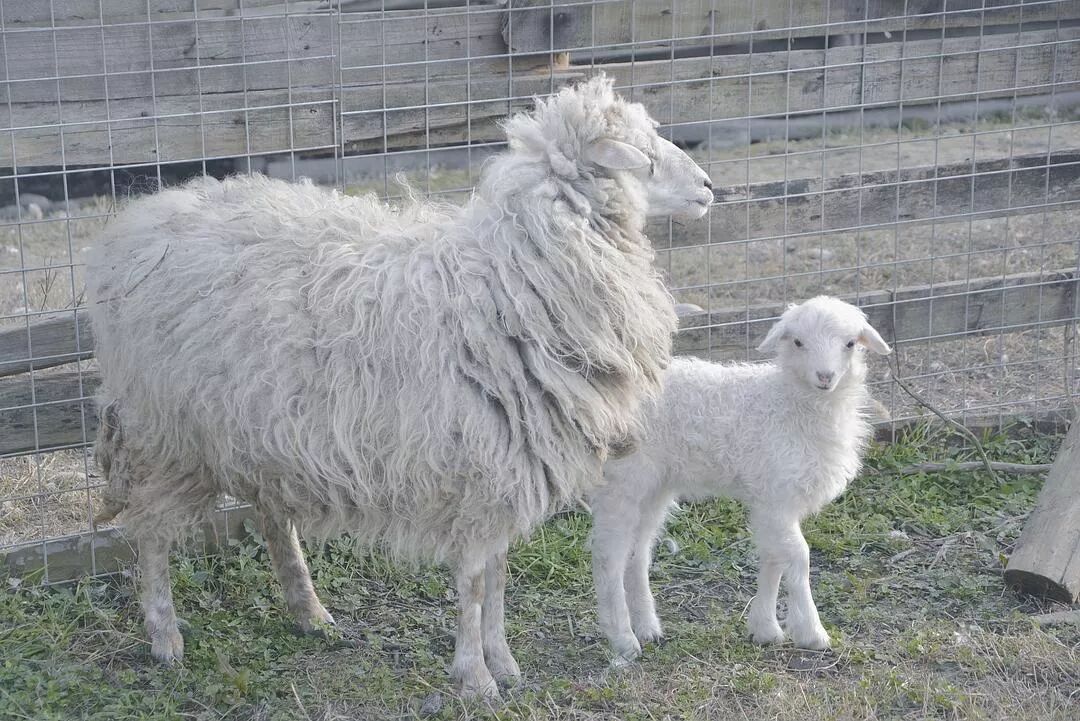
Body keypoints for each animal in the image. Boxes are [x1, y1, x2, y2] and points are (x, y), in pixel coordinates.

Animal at [85, 75, 714, 699]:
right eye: (645, 157)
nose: (709, 187)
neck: (517, 279)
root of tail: (142, 219)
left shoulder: (509, 466)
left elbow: (498, 575)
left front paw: (504, 662)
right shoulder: (479, 468)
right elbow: (475, 581)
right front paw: (476, 676)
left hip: (259, 426)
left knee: (271, 516)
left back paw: (310, 613)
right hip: (168, 432)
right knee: (151, 530)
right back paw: (165, 637)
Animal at [589, 296, 892, 663]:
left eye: (850, 344)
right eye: (798, 342)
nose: (825, 376)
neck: (791, 405)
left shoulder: (771, 498)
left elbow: (774, 558)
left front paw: (764, 629)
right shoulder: (776, 495)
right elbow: (799, 557)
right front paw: (811, 631)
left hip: (655, 485)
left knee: (638, 551)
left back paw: (647, 627)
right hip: (623, 481)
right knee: (608, 555)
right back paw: (623, 639)